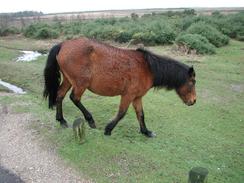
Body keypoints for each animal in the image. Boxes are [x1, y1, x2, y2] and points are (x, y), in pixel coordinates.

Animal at [43, 37, 196, 137]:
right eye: (192, 82)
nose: (193, 101)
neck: (147, 68)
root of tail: (63, 44)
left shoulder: (137, 97)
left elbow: (141, 114)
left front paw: (146, 132)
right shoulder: (128, 95)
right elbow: (122, 113)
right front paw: (108, 129)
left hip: (68, 80)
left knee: (60, 95)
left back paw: (62, 120)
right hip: (81, 83)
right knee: (74, 98)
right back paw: (90, 120)